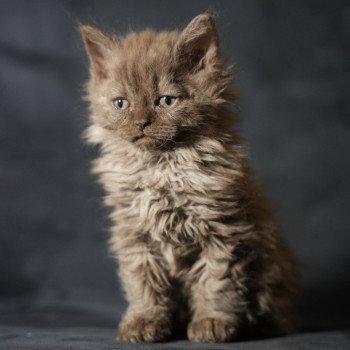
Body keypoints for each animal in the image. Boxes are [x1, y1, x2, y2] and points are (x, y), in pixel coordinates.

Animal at [80, 15, 300, 344]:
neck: (161, 168)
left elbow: (217, 281)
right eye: (121, 104)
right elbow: (142, 282)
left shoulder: (223, 231)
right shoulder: (135, 235)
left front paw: (212, 322)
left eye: (166, 101)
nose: (141, 123)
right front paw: (144, 321)